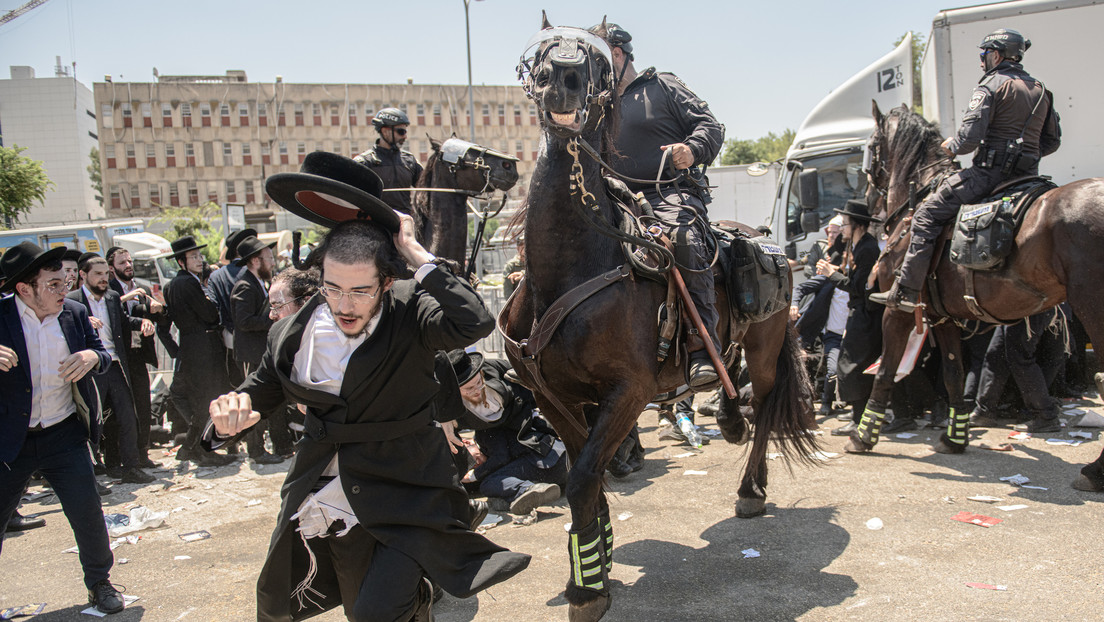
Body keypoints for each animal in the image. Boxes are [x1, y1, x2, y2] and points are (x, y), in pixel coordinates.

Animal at [501, 17, 821, 618]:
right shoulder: (554, 397)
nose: (564, 79)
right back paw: (726, 417)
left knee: (766, 408)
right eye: (544, 50)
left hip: (766, 349)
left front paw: (588, 590)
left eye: (597, 61)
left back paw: (750, 489)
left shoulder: (628, 392)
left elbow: (583, 479)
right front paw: (596, 558)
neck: (571, 271)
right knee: (731, 379)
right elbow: (586, 477)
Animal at [852, 101, 1104, 452]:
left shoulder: (897, 312)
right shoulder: (942, 317)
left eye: (872, 147)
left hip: (1091, 305)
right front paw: (955, 437)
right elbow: (954, 372)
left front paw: (864, 435)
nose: (868, 200)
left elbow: (886, 370)